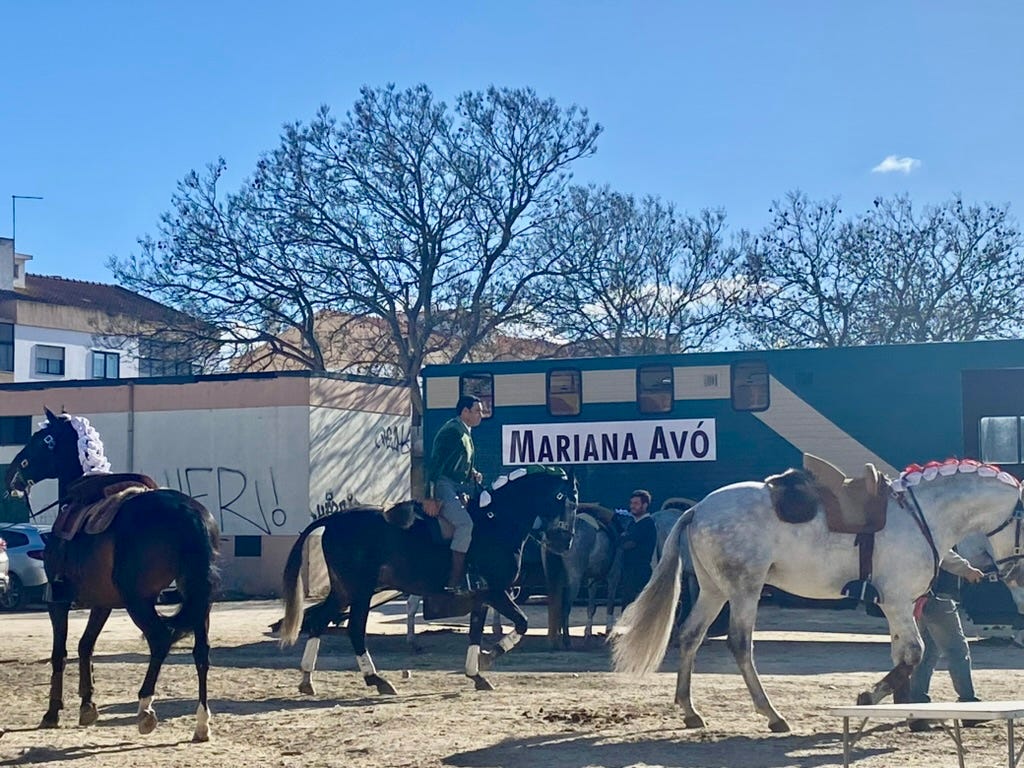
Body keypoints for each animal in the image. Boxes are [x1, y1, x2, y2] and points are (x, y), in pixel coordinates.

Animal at [3, 411, 219, 741]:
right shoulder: (102, 602)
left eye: (40, 440)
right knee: (201, 652)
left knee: (159, 639)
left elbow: (60, 652)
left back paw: (145, 708)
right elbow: (85, 645)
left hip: (139, 600)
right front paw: (87, 705)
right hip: (198, 600)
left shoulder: (58, 601)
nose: (12, 473)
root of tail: (191, 513)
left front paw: (52, 713)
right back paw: (201, 722)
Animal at [280, 466, 581, 696]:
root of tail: (334, 518)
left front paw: (476, 674)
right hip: (360, 590)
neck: (498, 522)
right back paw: (377, 680)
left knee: (319, 621)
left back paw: (307, 679)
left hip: (344, 590)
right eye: (563, 498)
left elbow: (475, 632)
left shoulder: (481, 596)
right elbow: (522, 623)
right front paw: (488, 657)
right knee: (354, 629)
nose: (564, 543)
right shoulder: (496, 592)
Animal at [610, 456, 1019, 733]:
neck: (921, 515)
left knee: (691, 636)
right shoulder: (898, 601)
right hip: (744, 590)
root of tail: (698, 509)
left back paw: (690, 710)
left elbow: (903, 655)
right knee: (740, 644)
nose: (1015, 572)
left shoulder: (898, 607)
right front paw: (869, 697)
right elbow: (913, 655)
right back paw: (772, 715)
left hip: (714, 591)